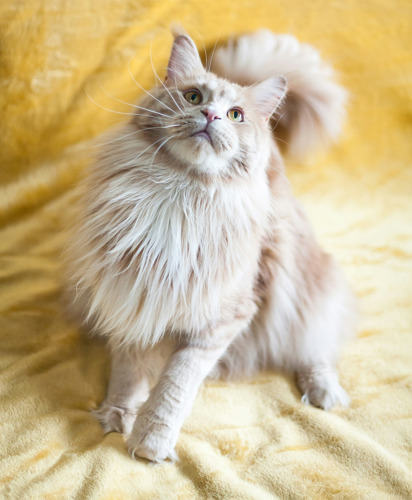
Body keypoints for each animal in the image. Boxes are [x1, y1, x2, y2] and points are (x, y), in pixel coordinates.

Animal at [64, 29, 354, 462]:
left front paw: (150, 443)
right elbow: (128, 370)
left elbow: (175, 385)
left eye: (235, 115)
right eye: (193, 97)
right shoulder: (130, 293)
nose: (211, 117)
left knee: (314, 339)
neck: (179, 198)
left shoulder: (222, 319)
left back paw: (323, 391)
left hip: (303, 277)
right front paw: (119, 414)